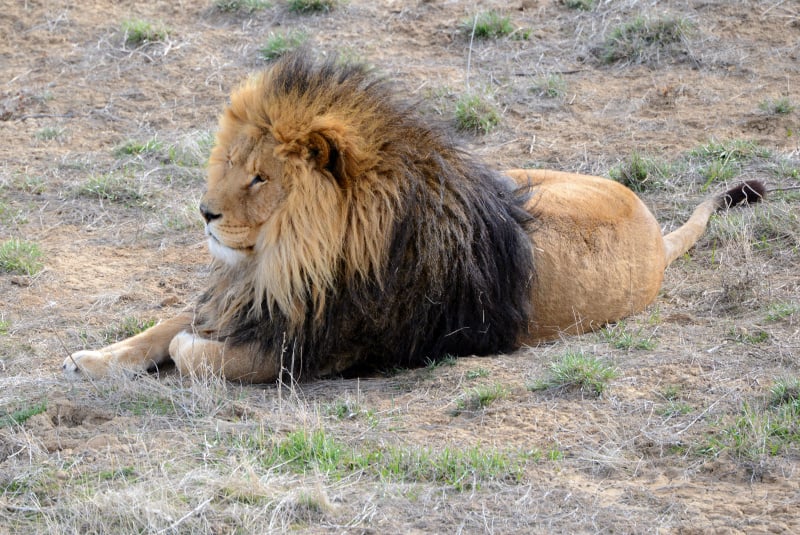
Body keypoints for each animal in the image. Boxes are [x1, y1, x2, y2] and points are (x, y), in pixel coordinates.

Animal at [62, 52, 764, 384]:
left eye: (261, 178)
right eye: (231, 164)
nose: (204, 213)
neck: (287, 257)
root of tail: (652, 229)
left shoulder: (317, 348)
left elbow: (199, 354)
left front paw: (185, 348)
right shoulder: (252, 297)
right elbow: (163, 324)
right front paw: (92, 358)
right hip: (520, 179)